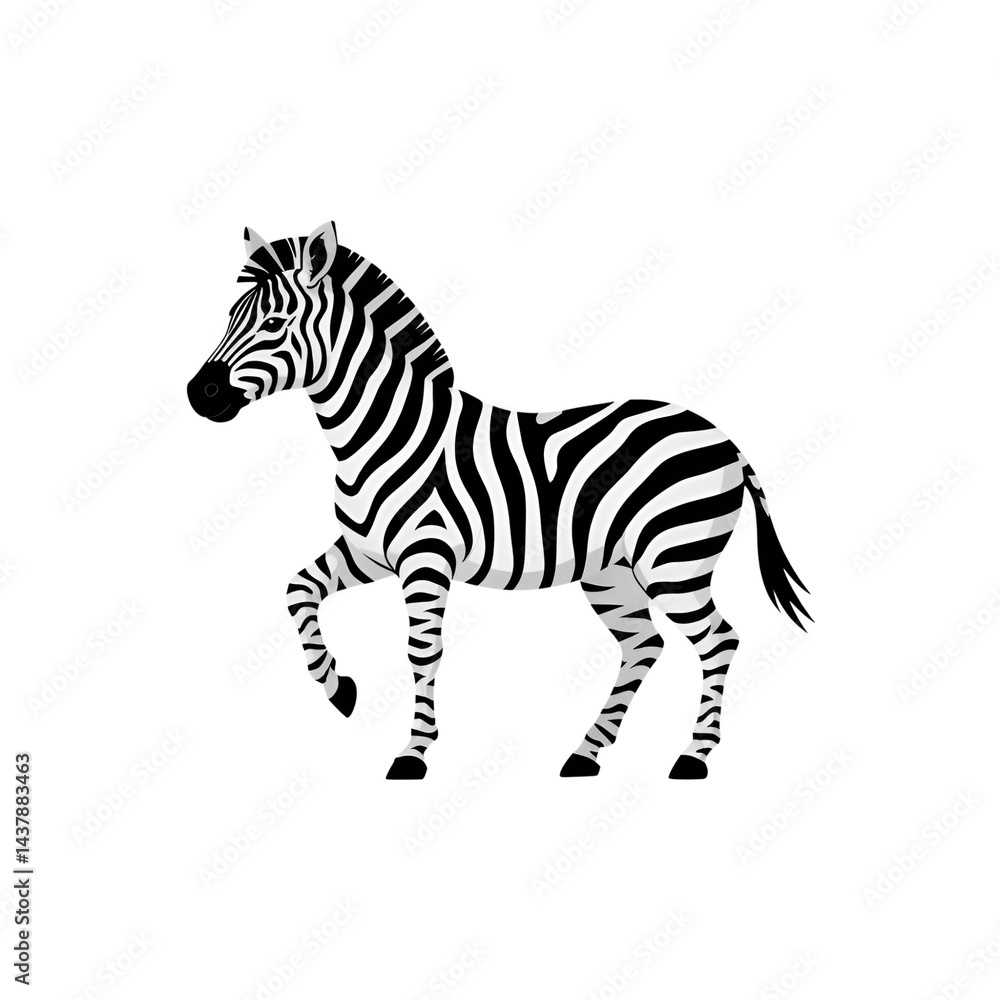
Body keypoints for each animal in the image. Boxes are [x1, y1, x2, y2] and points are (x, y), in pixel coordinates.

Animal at [188, 221, 810, 780]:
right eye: (229, 317)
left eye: (274, 322)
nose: (200, 394)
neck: (382, 433)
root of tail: (722, 436)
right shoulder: (369, 552)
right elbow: (297, 590)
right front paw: (340, 689)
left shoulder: (426, 558)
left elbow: (421, 652)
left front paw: (414, 753)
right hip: (611, 571)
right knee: (644, 644)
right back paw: (586, 755)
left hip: (674, 560)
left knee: (719, 640)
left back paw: (692, 757)